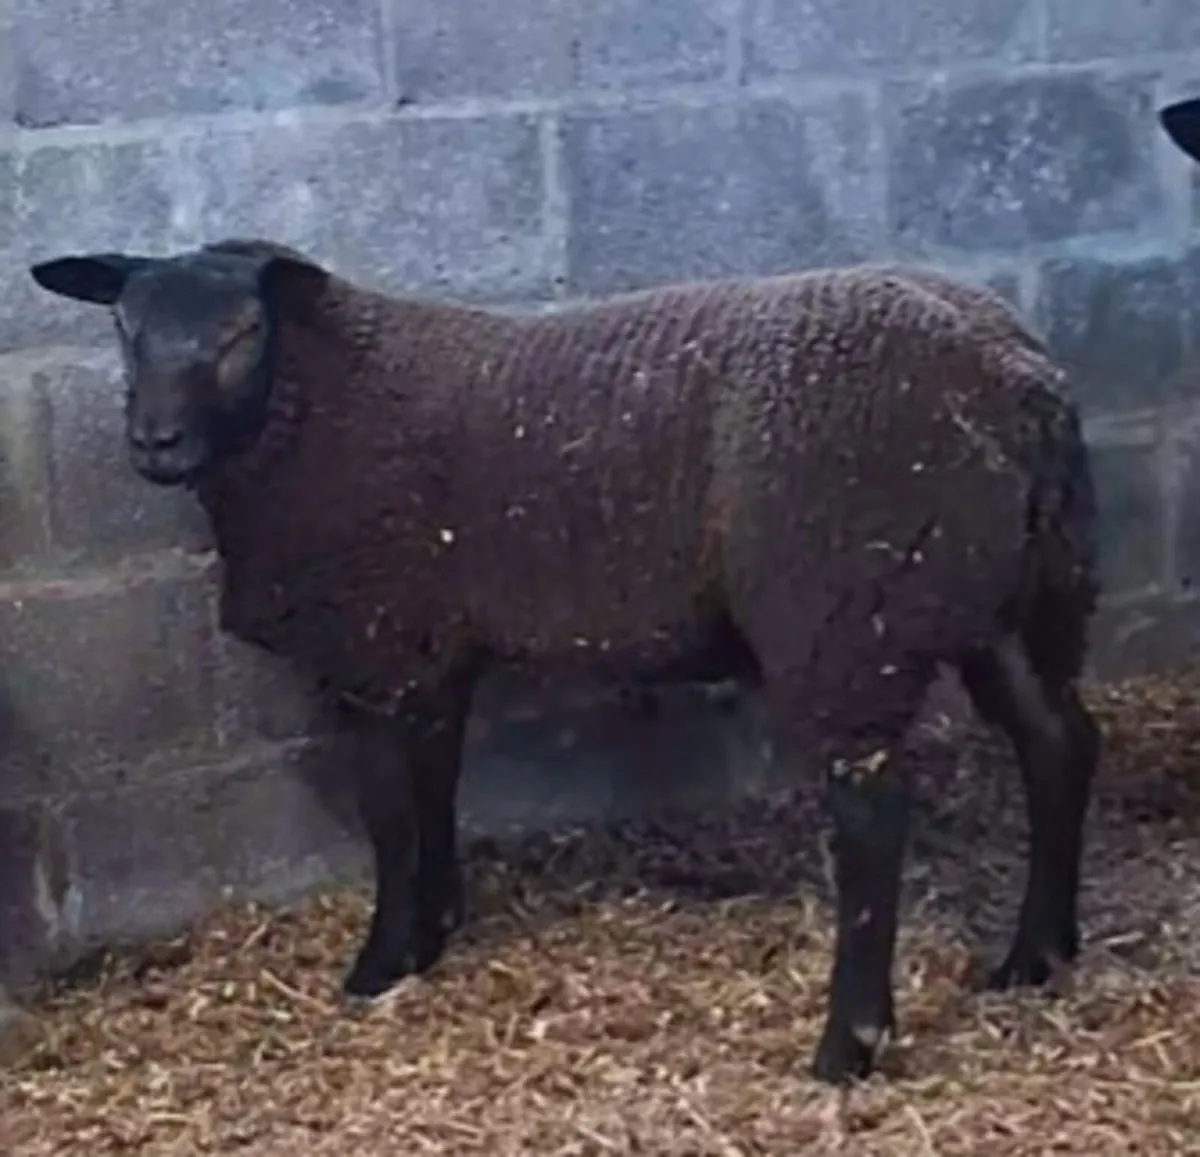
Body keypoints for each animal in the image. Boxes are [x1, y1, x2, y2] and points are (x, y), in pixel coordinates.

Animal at [28, 240, 1101, 1086]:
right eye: (123, 326)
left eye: (243, 330)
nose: (154, 443)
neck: (317, 403)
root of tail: (1021, 382)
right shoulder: (432, 651)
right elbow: (433, 794)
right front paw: (435, 928)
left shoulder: (378, 644)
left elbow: (388, 818)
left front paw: (379, 964)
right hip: (1010, 598)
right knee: (1060, 740)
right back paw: (1037, 955)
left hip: (847, 620)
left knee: (875, 820)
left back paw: (848, 1046)